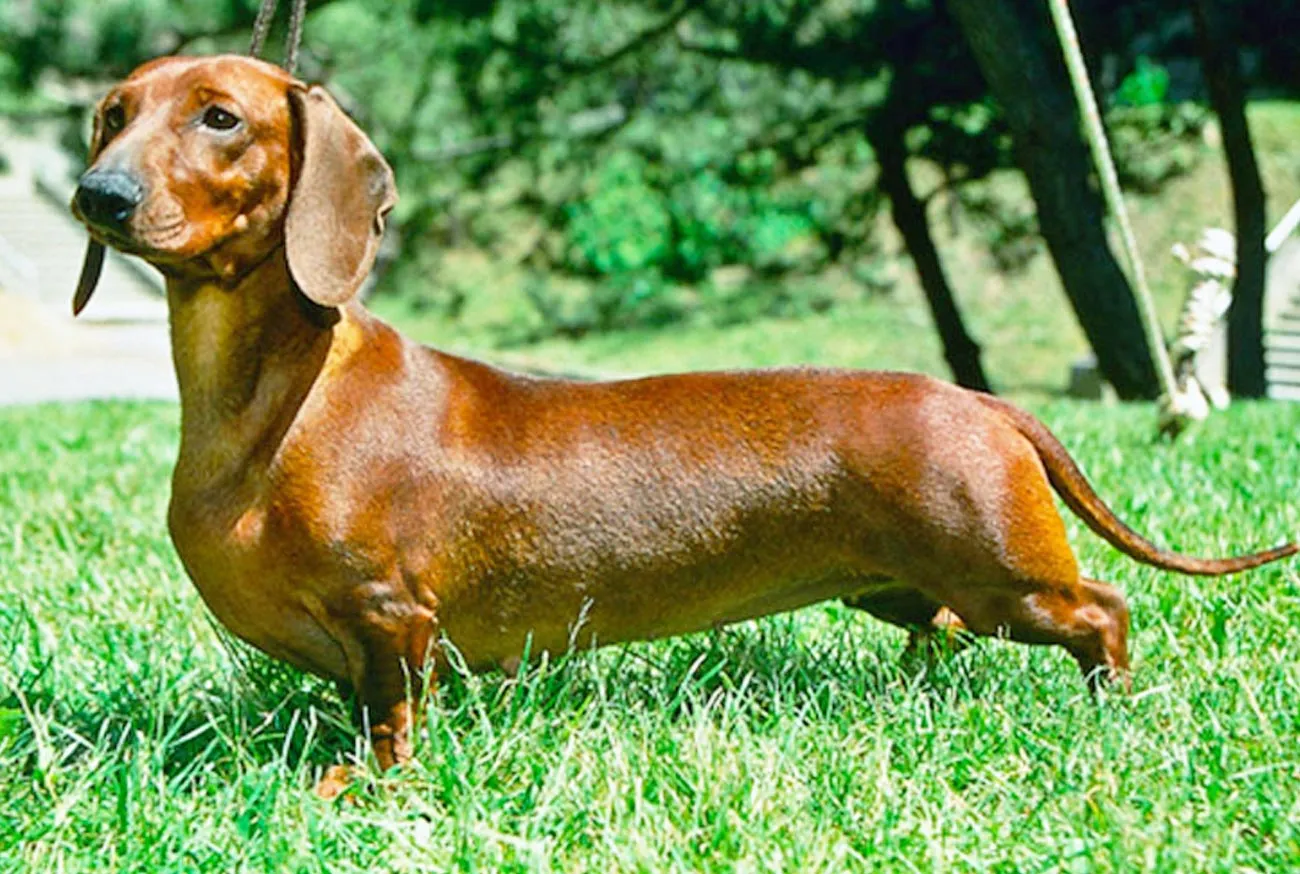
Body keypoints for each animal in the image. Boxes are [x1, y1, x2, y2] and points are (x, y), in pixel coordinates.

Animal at [76, 54, 1294, 790]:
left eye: (222, 116)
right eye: (112, 115)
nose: (97, 196)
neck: (278, 400)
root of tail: (977, 396)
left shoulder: (391, 618)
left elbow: (389, 715)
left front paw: (364, 784)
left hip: (1008, 575)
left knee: (1104, 609)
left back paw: (1110, 706)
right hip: (917, 584)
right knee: (942, 627)